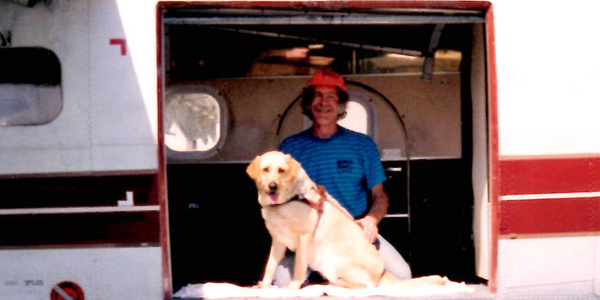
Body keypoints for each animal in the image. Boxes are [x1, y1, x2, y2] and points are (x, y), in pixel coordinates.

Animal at [246, 151, 448, 290]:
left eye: (281, 171)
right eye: (266, 170)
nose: (273, 186)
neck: (288, 200)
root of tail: (382, 274)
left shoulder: (304, 238)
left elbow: (298, 269)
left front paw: (292, 288)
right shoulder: (278, 243)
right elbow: (270, 267)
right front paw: (263, 286)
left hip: (338, 261)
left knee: (364, 287)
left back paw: (329, 286)